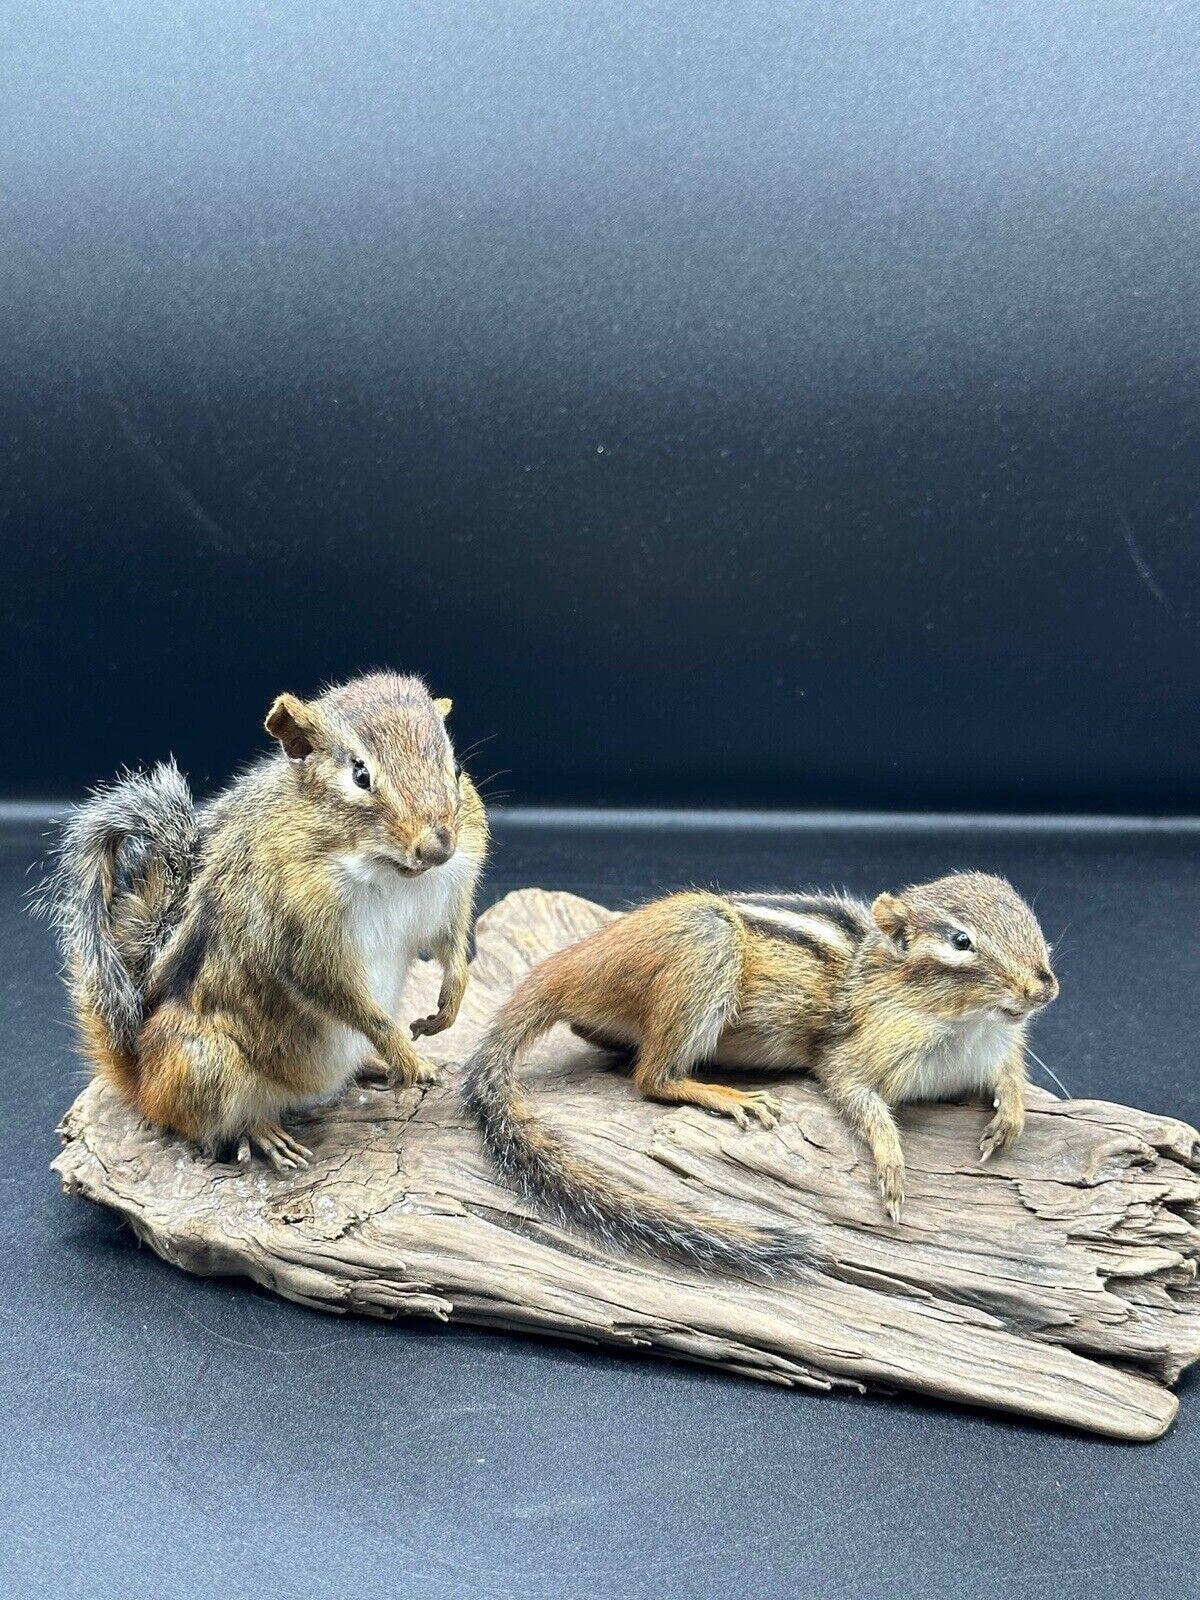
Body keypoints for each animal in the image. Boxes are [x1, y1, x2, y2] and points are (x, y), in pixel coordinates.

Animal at [40, 672, 488, 1168]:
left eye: (456, 769)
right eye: (360, 775)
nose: (438, 847)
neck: (388, 870)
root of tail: (140, 1076)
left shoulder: (446, 900)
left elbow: (451, 946)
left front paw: (447, 1007)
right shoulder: (298, 938)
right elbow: (343, 997)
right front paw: (405, 1055)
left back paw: (368, 1066)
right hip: (209, 1066)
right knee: (211, 1124)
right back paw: (264, 1131)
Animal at [461, 872, 1057, 1270]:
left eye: (1030, 920)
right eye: (961, 941)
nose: (1045, 987)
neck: (966, 1026)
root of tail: (573, 963)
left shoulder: (997, 1049)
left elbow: (1010, 1075)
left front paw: (1010, 1116)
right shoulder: (851, 1058)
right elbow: (858, 1100)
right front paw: (891, 1165)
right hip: (703, 940)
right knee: (650, 1077)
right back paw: (727, 1096)